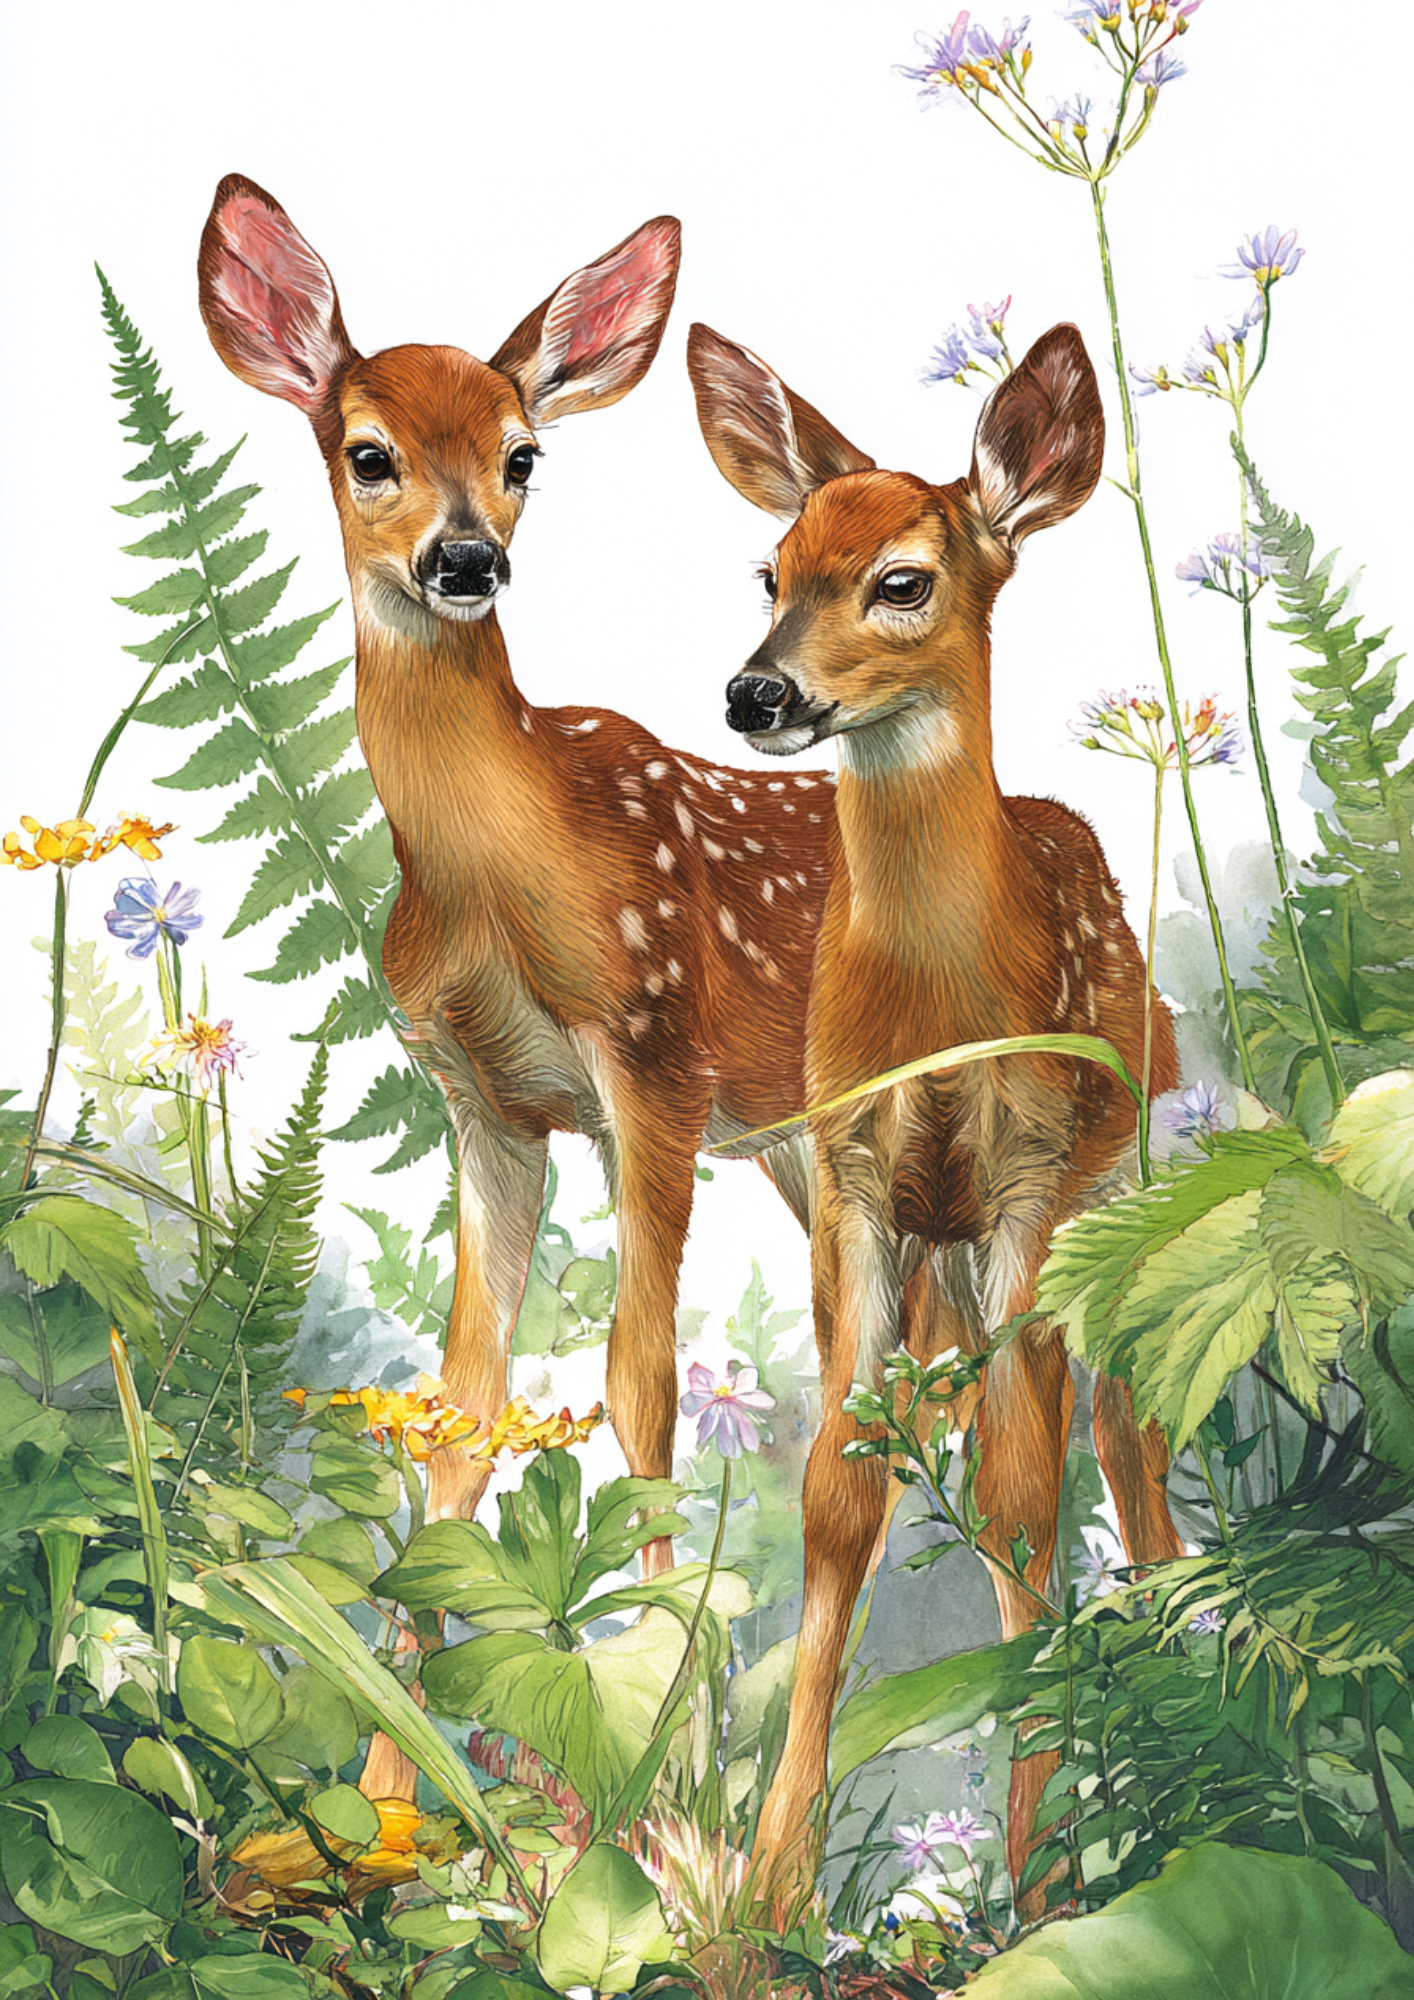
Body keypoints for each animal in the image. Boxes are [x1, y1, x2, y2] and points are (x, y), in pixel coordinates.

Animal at [687, 319, 1185, 1902]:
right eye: (769, 570)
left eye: (901, 578)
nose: (756, 695)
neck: (932, 1010)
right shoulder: (849, 1181)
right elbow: (837, 1495)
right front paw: (769, 1889)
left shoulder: (1025, 1176)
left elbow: (1028, 1497)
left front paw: (1039, 1885)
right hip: (926, 1258)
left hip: (1110, 1211)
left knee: (1128, 1445)